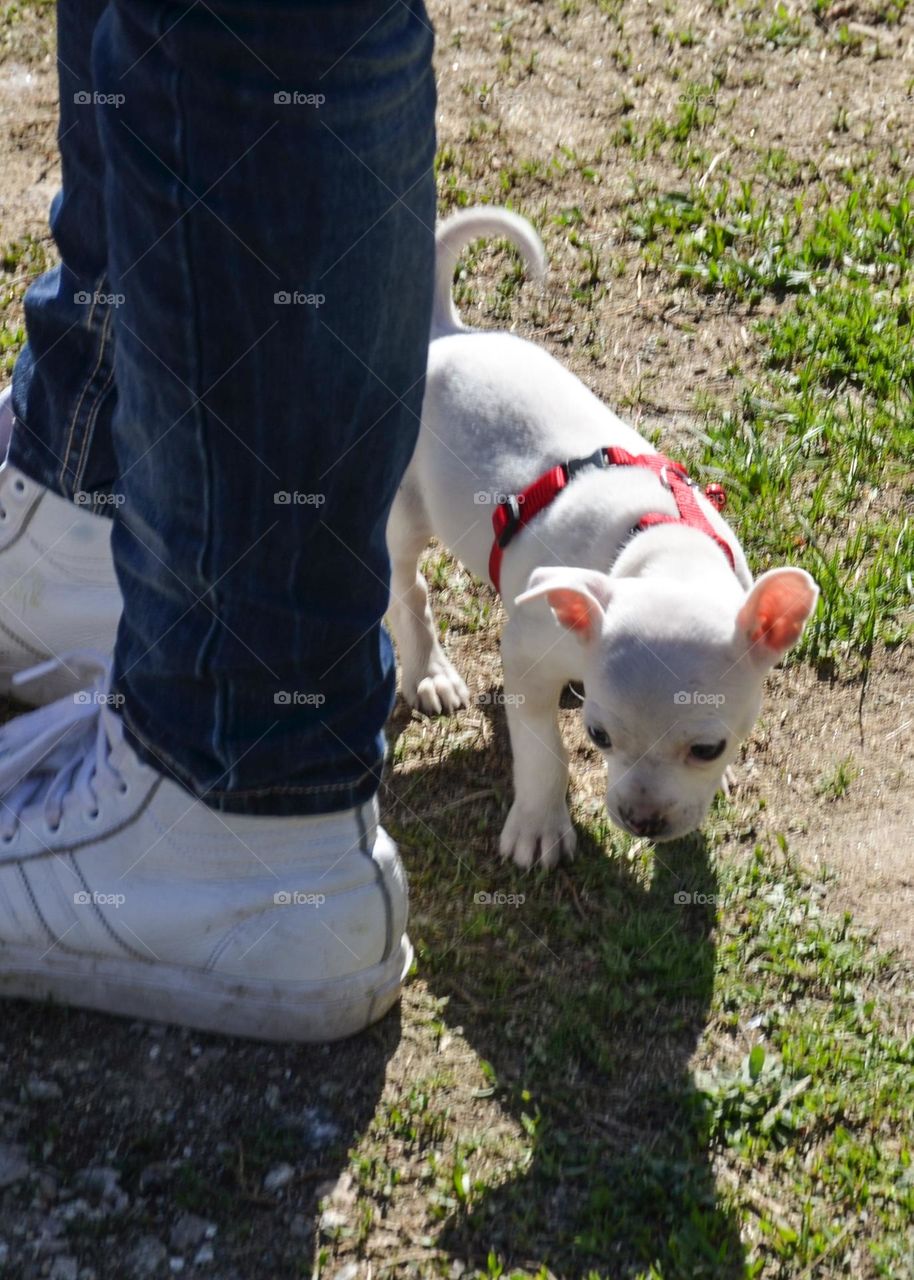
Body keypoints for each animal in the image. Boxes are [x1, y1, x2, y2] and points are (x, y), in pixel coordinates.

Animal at [389, 209, 814, 870]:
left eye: (708, 749)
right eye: (599, 736)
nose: (642, 820)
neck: (663, 553)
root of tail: (445, 332)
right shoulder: (526, 656)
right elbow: (541, 748)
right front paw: (539, 824)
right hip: (406, 510)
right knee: (406, 585)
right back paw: (430, 672)